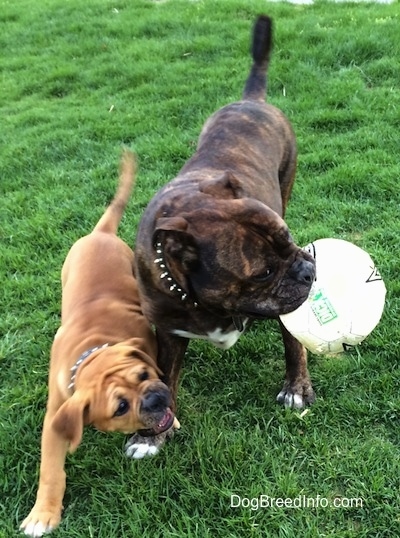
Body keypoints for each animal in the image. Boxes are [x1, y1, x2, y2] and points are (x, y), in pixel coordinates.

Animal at [20, 152, 177, 536]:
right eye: (120, 407)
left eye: (143, 375)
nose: (154, 398)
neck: (94, 351)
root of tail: (99, 233)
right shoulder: (57, 415)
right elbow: (51, 470)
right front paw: (42, 514)